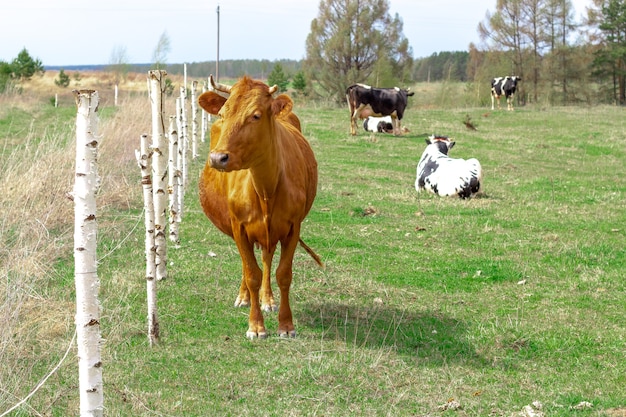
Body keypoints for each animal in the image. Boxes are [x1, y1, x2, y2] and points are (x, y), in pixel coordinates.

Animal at [196, 76, 322, 340]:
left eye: (255, 115)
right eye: (222, 113)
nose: (218, 158)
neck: (266, 188)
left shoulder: (293, 227)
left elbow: (283, 274)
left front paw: (286, 324)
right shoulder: (239, 227)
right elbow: (252, 273)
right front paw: (256, 325)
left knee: (266, 258)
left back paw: (268, 299)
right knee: (249, 265)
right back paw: (245, 296)